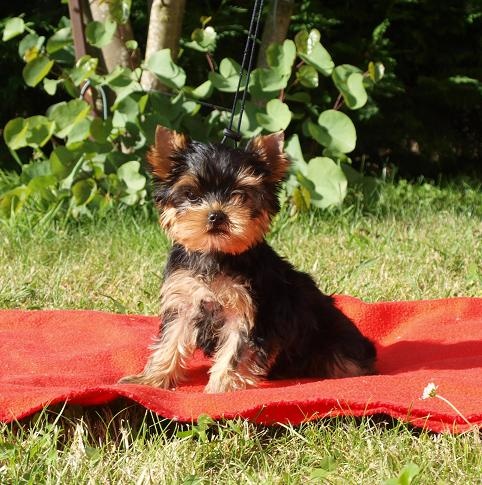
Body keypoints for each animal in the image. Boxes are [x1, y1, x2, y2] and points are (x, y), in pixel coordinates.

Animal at [119, 126, 376, 393]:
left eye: (240, 195)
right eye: (191, 195)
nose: (217, 215)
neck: (216, 254)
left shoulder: (248, 312)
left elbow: (235, 351)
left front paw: (220, 388)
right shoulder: (184, 301)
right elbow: (171, 340)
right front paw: (151, 379)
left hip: (334, 343)